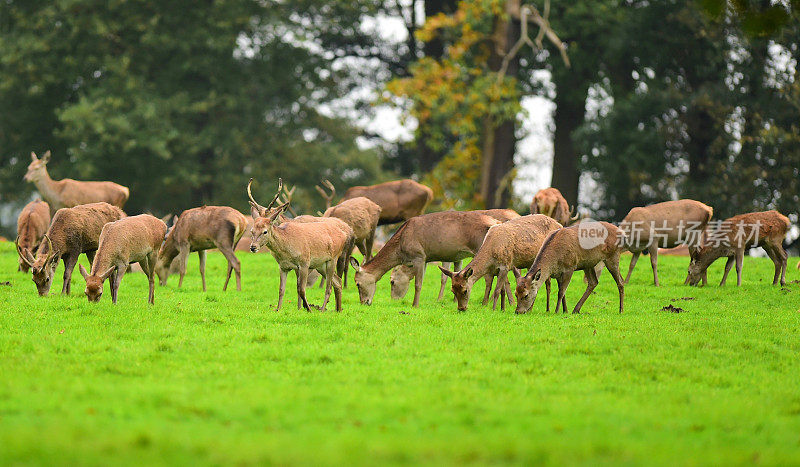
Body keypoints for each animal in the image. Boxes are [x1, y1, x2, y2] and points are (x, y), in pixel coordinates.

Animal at [248, 178, 352, 310]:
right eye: (252, 230)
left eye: (265, 231)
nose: (253, 247)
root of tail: (345, 233)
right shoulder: (283, 266)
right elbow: (281, 290)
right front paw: (278, 309)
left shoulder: (304, 263)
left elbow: (301, 289)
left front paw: (307, 309)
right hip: (321, 265)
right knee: (337, 282)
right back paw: (338, 310)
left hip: (333, 259)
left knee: (329, 287)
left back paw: (323, 309)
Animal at [348, 211, 504, 308]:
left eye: (357, 283)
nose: (364, 302)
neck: (401, 246)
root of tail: (497, 221)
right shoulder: (427, 258)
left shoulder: (419, 255)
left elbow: (418, 284)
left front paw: (415, 305)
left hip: (482, 249)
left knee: (489, 277)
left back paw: (486, 303)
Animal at [388, 209, 520, 304]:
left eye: (392, 281)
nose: (394, 299)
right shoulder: (457, 257)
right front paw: (453, 299)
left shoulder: (446, 256)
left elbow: (443, 277)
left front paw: (439, 299)